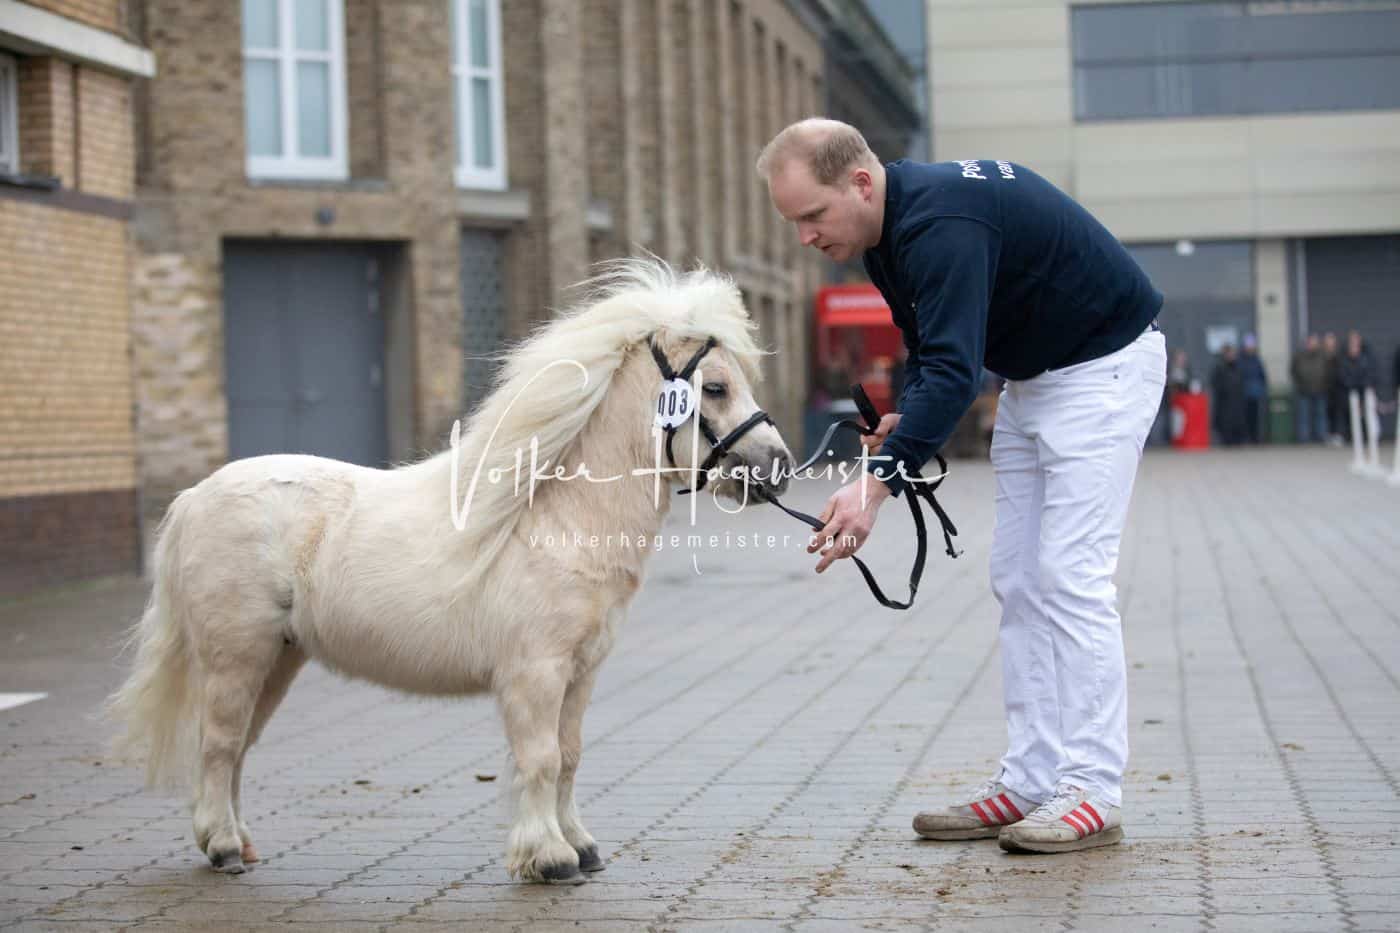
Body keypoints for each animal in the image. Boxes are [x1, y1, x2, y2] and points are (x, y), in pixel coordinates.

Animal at [107, 259, 793, 884]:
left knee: (239, 748)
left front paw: (581, 846)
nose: (778, 465)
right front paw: (549, 857)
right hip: (236, 656)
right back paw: (223, 847)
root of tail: (195, 497)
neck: (551, 518)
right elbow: (541, 759)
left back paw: (239, 844)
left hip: (278, 657)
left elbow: (570, 756)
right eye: (715, 388)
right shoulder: (534, 674)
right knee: (219, 744)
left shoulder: (580, 675)